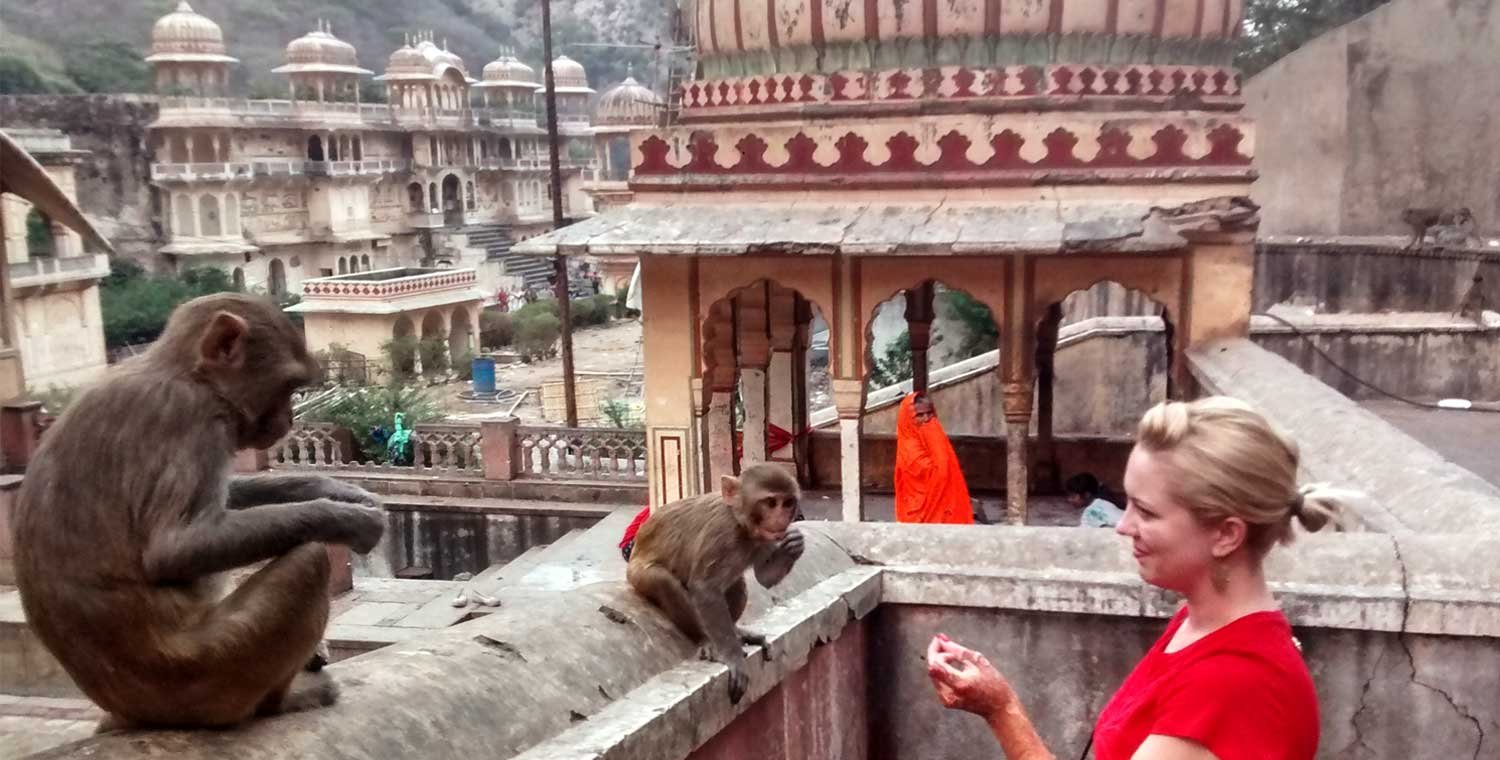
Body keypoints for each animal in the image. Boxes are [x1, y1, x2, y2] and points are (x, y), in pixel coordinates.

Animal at [11, 292, 387, 732]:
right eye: (289, 387)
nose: (290, 419)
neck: (189, 375)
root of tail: (128, 711)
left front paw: (332, 490)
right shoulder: (191, 415)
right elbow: (176, 549)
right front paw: (347, 519)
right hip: (212, 672)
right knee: (308, 561)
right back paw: (283, 699)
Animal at [626, 463, 805, 705]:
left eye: (788, 502)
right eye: (770, 502)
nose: (782, 518)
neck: (741, 525)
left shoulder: (763, 537)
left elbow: (764, 577)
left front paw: (794, 544)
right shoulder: (720, 533)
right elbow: (705, 588)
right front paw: (731, 656)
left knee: (737, 583)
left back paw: (738, 632)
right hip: (636, 574)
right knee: (662, 581)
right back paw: (707, 639)